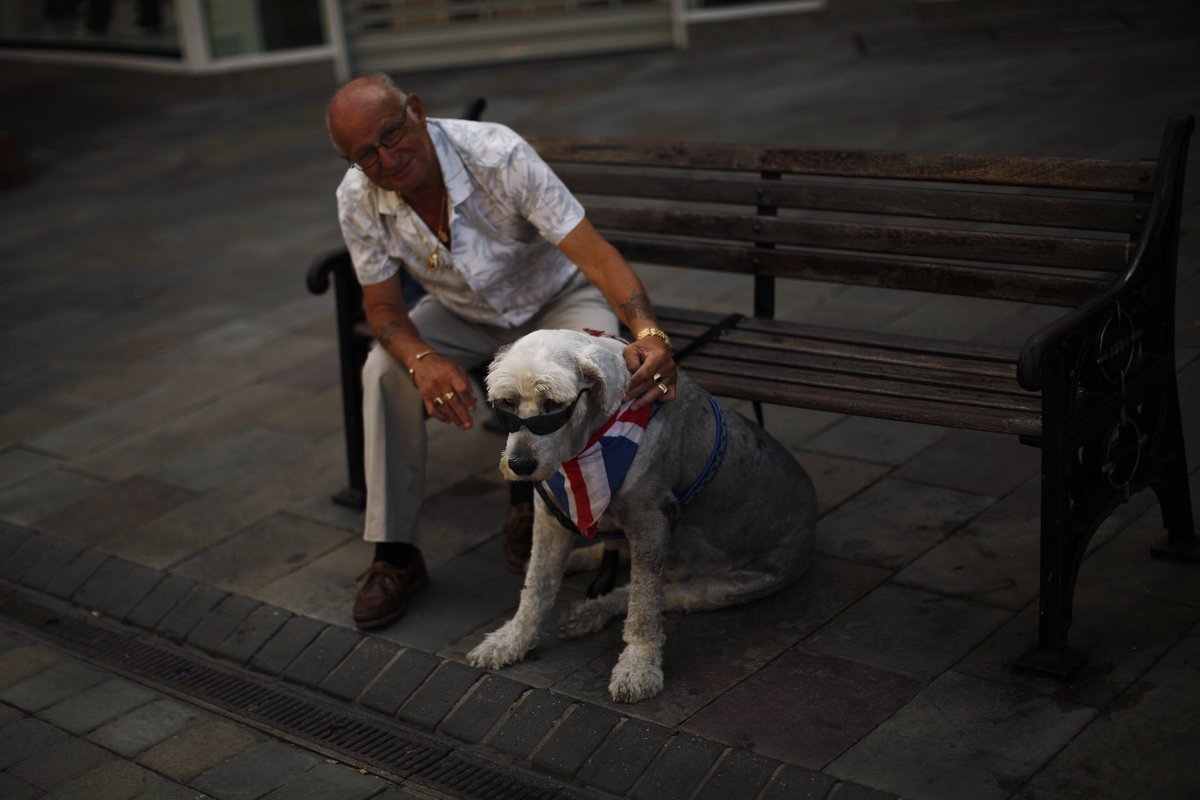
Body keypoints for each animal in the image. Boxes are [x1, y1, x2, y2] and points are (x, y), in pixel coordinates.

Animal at [465, 328, 816, 705]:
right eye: (507, 404)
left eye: (553, 405)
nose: (520, 464)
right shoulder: (550, 513)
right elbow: (537, 585)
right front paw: (511, 639)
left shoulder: (650, 524)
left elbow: (643, 606)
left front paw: (638, 667)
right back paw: (580, 567)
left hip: (726, 585)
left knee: (647, 593)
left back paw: (592, 610)